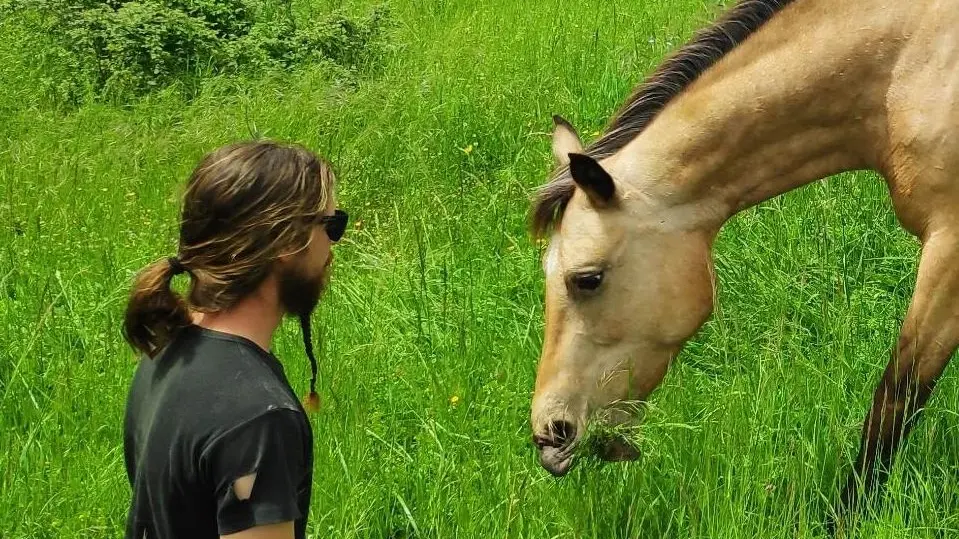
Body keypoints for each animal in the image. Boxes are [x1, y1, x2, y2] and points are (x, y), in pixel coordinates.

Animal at [527, 0, 959, 526]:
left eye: (586, 279)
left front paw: (843, 519)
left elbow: (895, 397)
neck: (911, 58)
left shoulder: (948, 248)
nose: (549, 435)